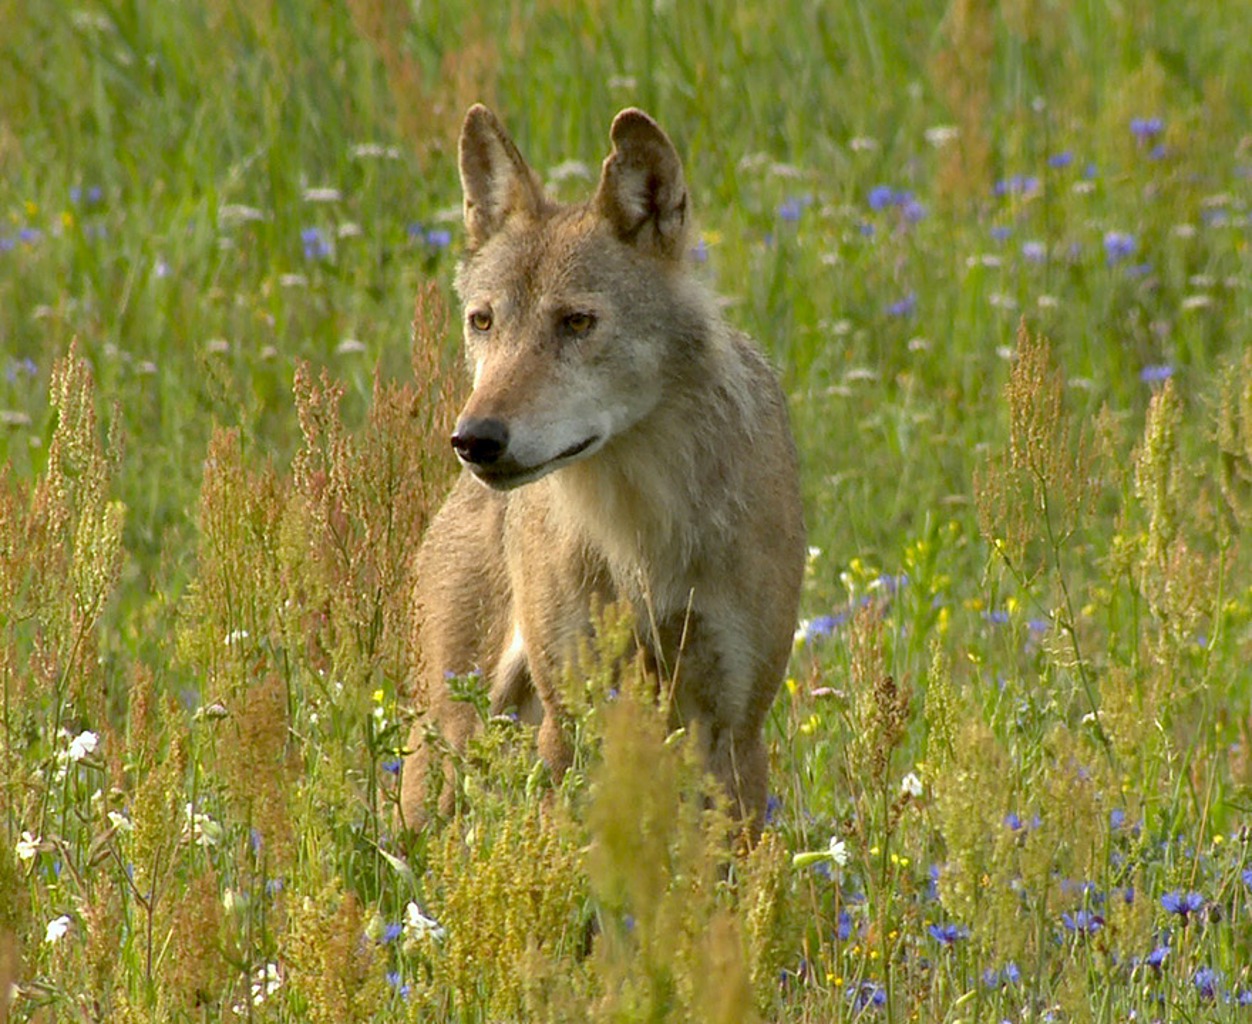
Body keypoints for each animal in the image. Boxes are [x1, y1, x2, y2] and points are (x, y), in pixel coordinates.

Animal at [400, 104, 805, 835]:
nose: (475, 440)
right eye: (483, 321)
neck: (643, 531)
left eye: (577, 322)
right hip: (450, 746)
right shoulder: (569, 722)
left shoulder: (736, 728)